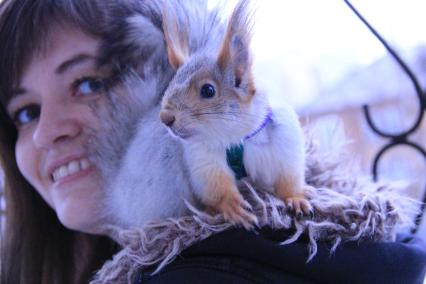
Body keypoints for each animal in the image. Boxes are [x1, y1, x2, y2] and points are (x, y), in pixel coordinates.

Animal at [158, 0, 312, 227]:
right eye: (171, 82)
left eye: (208, 90)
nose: (165, 118)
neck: (235, 137)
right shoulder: (205, 162)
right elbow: (217, 187)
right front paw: (232, 206)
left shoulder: (286, 144)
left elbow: (288, 178)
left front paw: (295, 198)